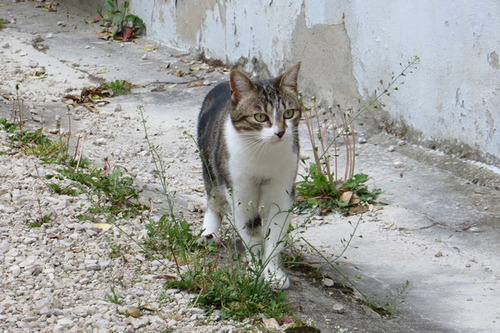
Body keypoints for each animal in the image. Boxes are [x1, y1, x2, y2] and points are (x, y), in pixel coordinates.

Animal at [197, 63, 300, 288]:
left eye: (289, 113)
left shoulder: (282, 193)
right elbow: (249, 232)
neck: (264, 154)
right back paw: (210, 231)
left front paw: (273, 272)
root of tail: (220, 85)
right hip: (210, 166)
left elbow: (274, 234)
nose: (280, 132)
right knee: (212, 197)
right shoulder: (240, 193)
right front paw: (255, 268)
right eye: (260, 117)